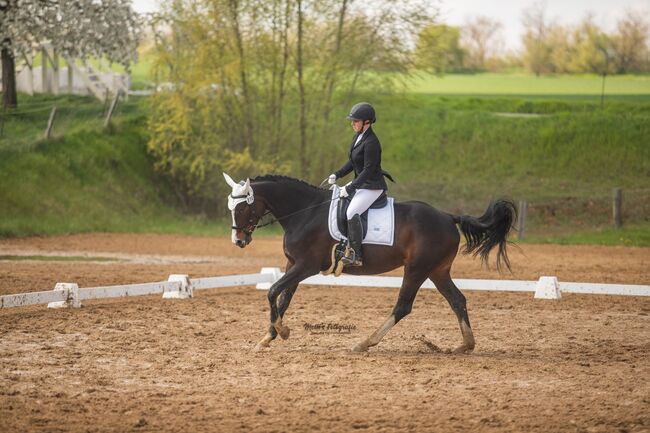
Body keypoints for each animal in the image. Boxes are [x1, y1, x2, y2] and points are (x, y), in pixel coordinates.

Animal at [223, 172, 516, 352]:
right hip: (437, 270)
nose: (238, 240)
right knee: (457, 300)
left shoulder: (306, 266)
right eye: (230, 208)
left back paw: (365, 342)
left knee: (403, 306)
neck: (305, 212)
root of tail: (447, 216)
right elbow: (283, 298)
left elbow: (273, 291)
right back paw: (465, 345)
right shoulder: (292, 265)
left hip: (417, 269)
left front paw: (281, 332)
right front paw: (269, 337)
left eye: (243, 207)